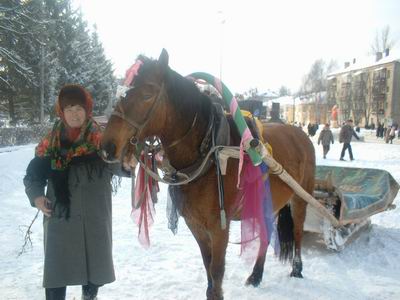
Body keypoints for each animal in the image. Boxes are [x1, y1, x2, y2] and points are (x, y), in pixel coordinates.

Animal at [101, 49, 316, 300]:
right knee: (265, 235)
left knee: (298, 230)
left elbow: (217, 269)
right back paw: (256, 274)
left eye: (147, 93)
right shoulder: (196, 224)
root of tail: (299, 133)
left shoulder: (219, 227)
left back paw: (297, 268)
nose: (107, 146)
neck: (208, 155)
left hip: (300, 197)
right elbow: (207, 265)